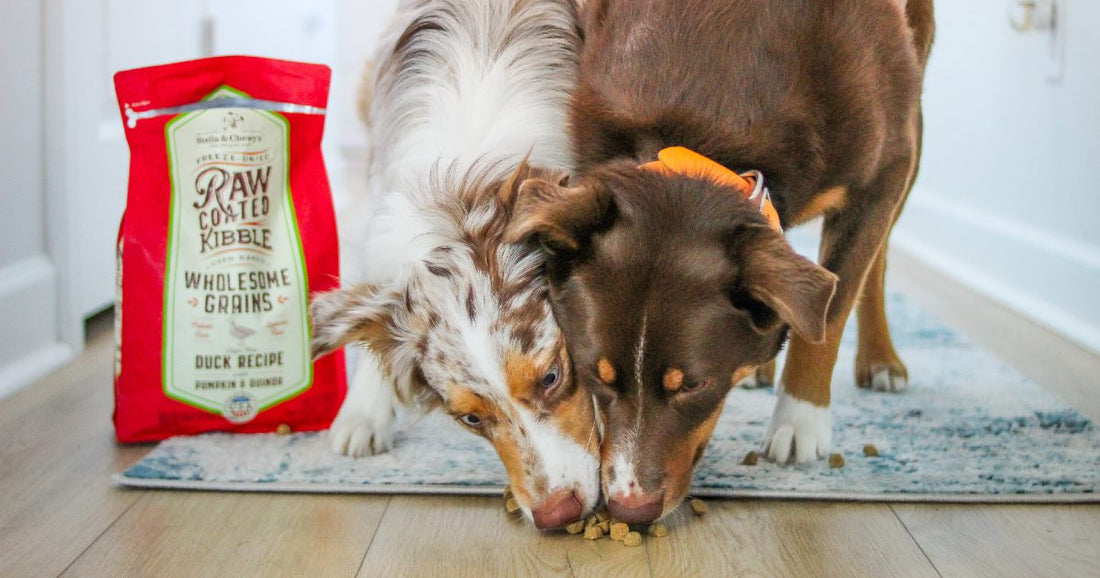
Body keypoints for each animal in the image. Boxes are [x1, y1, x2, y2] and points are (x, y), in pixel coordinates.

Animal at [506, 0, 937, 521]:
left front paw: (800, 421)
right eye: (595, 374)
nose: (630, 509)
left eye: (692, 385)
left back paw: (880, 360)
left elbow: (829, 316)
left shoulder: (886, 171)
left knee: (875, 266)